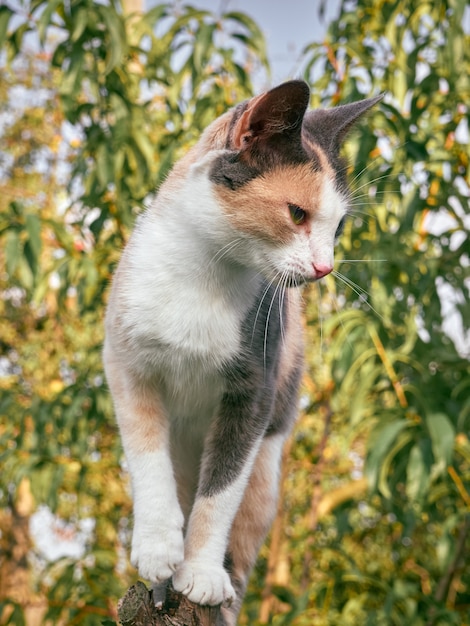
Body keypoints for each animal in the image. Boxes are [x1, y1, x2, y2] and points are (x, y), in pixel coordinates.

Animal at [103, 80, 382, 620]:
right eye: (297, 213)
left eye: (337, 228)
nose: (325, 268)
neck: (206, 273)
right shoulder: (127, 363)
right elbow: (146, 453)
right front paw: (157, 550)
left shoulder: (257, 386)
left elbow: (221, 490)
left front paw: (203, 574)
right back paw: (163, 586)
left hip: (267, 473)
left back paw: (223, 592)